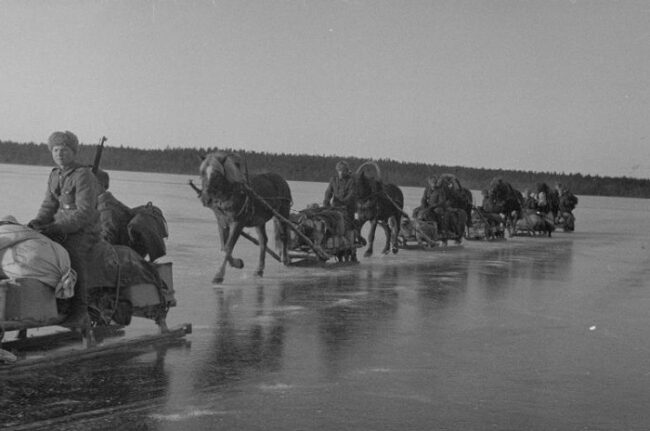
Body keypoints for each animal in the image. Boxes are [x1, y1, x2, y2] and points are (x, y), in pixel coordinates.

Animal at [195, 152, 292, 284]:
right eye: (202, 172)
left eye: (217, 174)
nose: (206, 198)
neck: (232, 193)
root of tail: (281, 179)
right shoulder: (221, 223)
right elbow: (224, 247)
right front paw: (238, 263)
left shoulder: (238, 223)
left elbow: (229, 246)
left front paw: (219, 275)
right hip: (259, 220)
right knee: (263, 240)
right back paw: (259, 270)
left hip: (282, 213)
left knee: (283, 236)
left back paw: (285, 259)